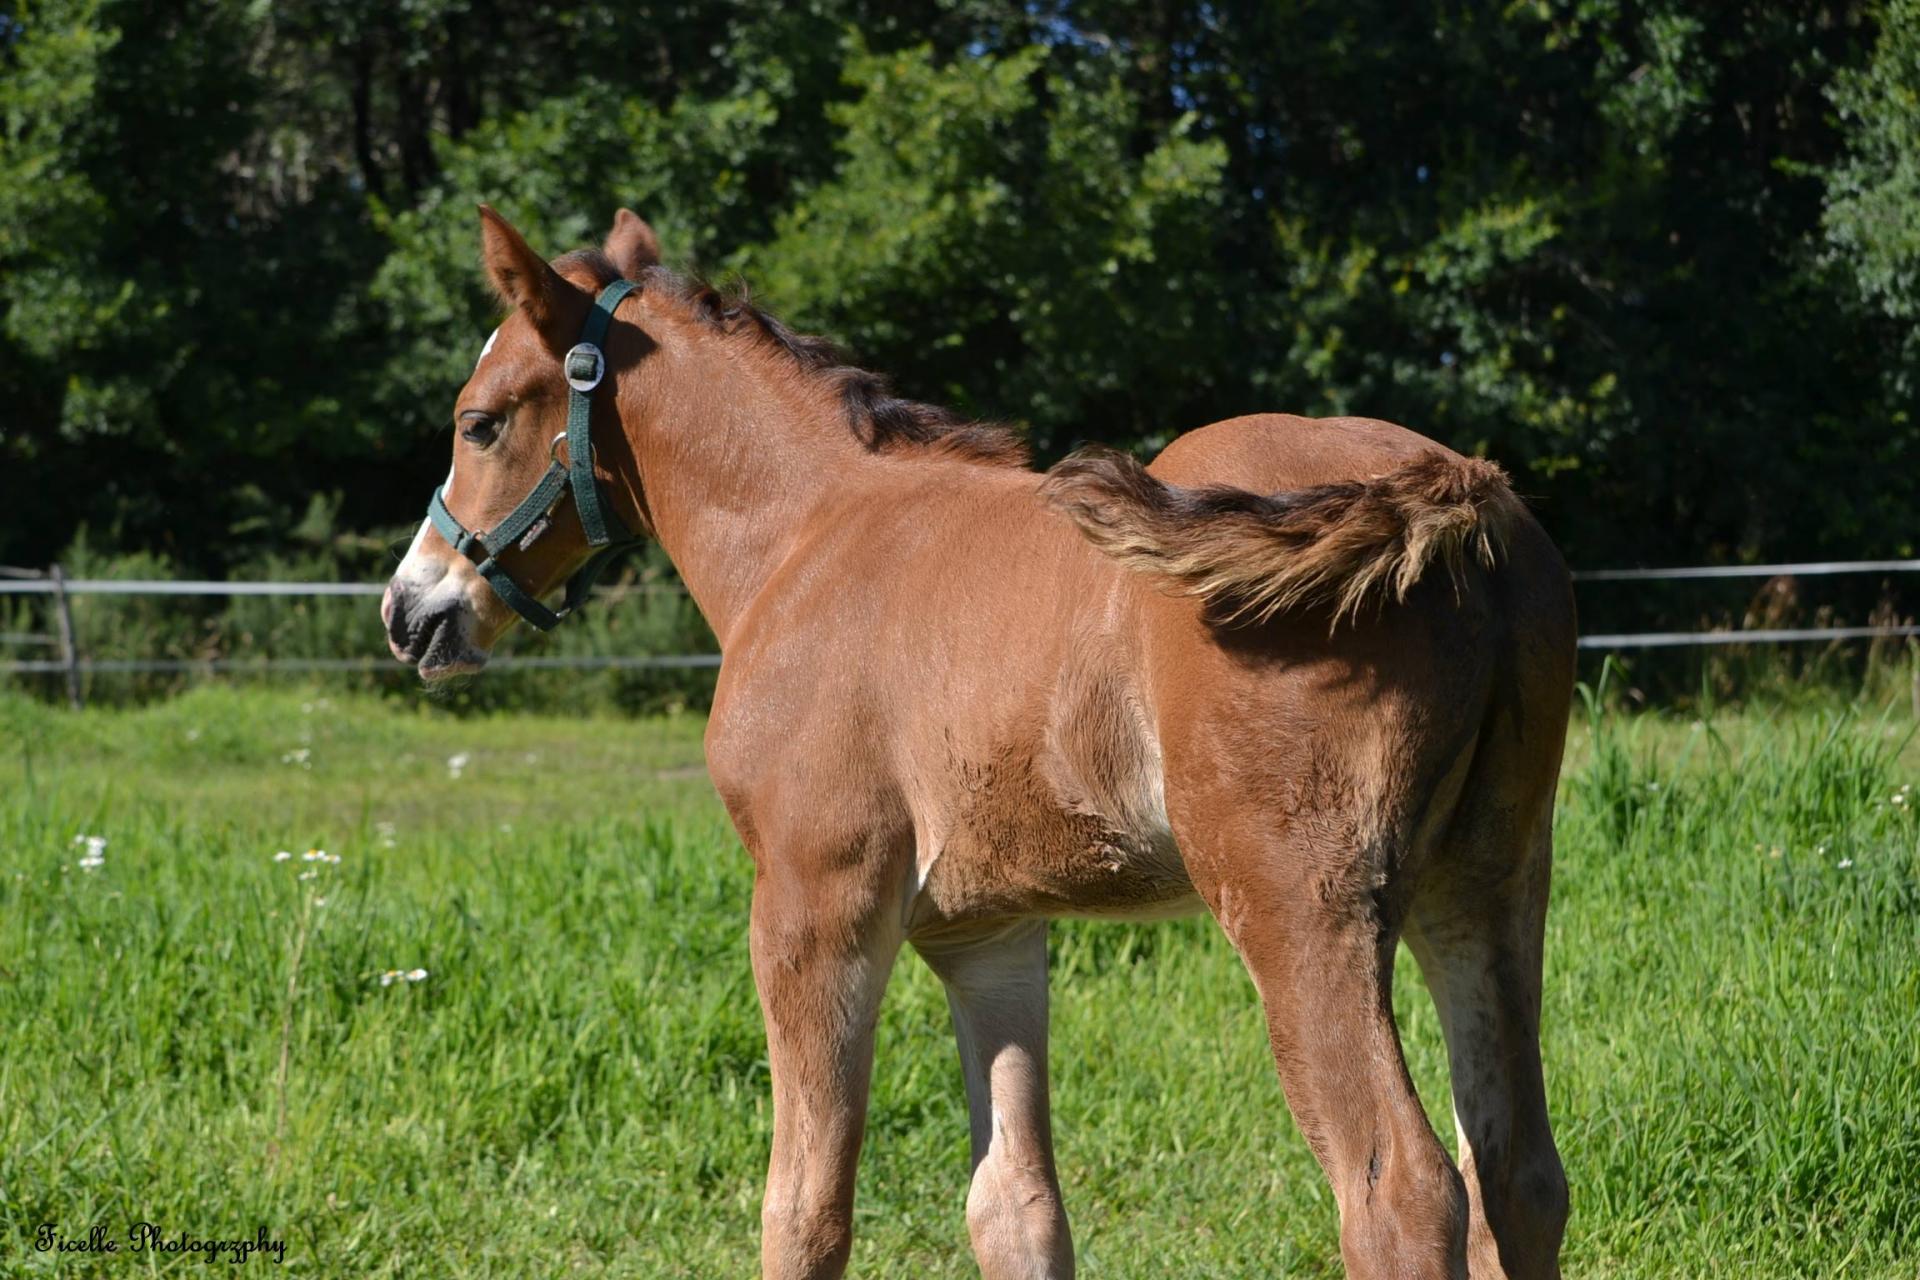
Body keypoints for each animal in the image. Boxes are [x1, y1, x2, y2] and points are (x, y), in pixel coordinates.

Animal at [385, 210, 1574, 1280]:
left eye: (480, 422)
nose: (410, 610)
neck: (806, 537)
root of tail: (1453, 486)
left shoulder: (814, 906)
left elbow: (804, 1208)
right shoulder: (987, 934)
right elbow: (1016, 1208)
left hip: (1299, 902)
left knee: (1401, 1191)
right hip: (1487, 884)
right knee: (1518, 1174)